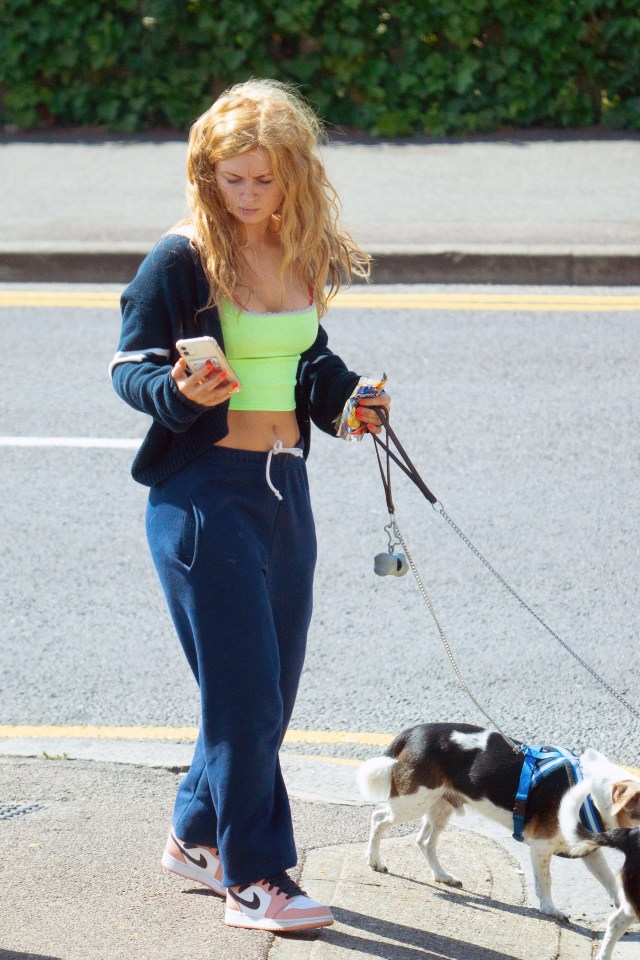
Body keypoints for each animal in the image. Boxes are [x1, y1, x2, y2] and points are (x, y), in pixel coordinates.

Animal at [356, 724, 640, 920]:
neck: (591, 793)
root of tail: (413, 731)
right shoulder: (541, 846)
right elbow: (546, 881)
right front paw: (550, 909)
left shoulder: (588, 849)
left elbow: (610, 882)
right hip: (411, 802)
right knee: (378, 818)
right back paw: (374, 861)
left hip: (440, 806)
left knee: (424, 841)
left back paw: (442, 876)